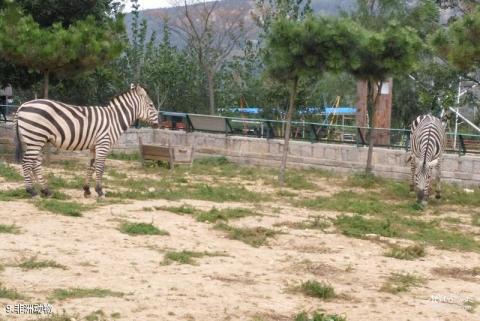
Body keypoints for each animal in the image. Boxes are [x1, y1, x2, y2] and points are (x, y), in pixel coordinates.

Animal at [13, 84, 158, 196]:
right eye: (151, 105)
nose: (157, 124)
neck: (114, 119)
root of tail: (22, 106)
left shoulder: (94, 145)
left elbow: (91, 166)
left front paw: (87, 190)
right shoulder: (103, 143)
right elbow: (100, 167)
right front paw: (100, 191)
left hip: (36, 140)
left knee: (35, 163)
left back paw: (45, 191)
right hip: (35, 138)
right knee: (27, 163)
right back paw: (31, 191)